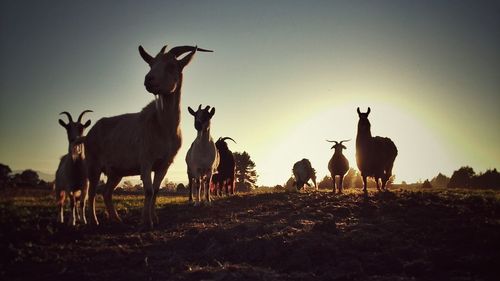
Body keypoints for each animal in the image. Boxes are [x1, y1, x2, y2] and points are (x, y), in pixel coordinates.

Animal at [84, 43, 213, 228]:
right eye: (151, 64)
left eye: (171, 65)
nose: (148, 79)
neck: (163, 127)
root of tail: (90, 133)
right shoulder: (145, 160)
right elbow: (148, 190)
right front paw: (146, 221)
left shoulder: (164, 163)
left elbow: (156, 190)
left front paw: (154, 218)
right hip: (93, 164)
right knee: (92, 192)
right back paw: (94, 221)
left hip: (116, 171)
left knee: (106, 192)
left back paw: (116, 219)